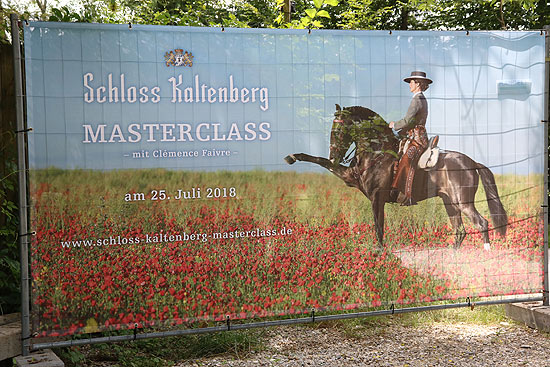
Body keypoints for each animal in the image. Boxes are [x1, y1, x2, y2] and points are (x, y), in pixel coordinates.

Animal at [286, 105, 512, 250]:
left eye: (341, 128)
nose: (335, 155)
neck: (377, 151)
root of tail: (472, 162)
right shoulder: (351, 178)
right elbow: (321, 161)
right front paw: (293, 156)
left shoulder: (377, 198)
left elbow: (379, 227)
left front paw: (380, 252)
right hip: (450, 203)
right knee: (460, 231)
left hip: (463, 202)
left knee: (481, 223)